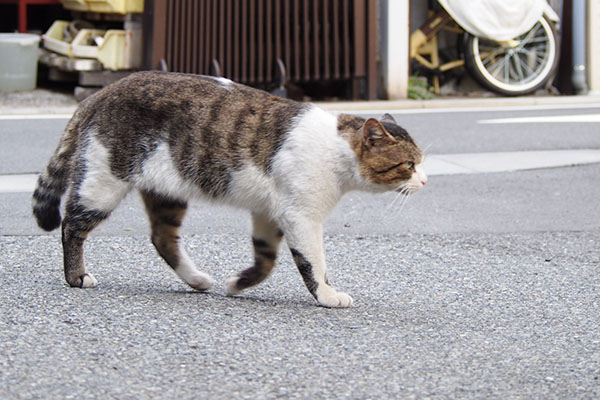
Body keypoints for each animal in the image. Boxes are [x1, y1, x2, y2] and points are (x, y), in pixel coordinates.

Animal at [31, 71, 426, 310]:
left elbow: (266, 260)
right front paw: (328, 295)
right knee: (71, 225)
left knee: (162, 238)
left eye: (421, 161)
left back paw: (197, 280)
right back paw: (76, 276)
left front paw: (238, 284)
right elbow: (313, 263)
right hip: (103, 182)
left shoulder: (270, 214)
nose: (425, 181)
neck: (336, 147)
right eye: (409, 164)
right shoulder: (301, 217)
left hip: (167, 193)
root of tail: (102, 92)